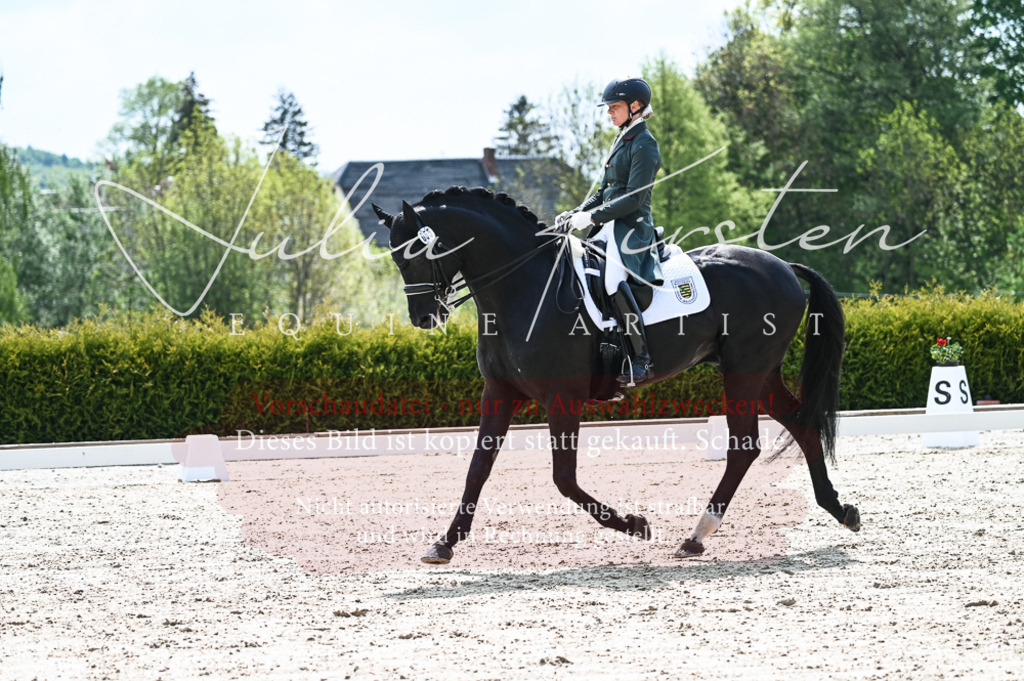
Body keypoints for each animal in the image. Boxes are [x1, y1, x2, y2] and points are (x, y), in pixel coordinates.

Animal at [372, 186, 860, 565]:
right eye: (395, 258)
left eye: (417, 253)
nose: (424, 317)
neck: (523, 288)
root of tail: (783, 267)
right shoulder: (499, 392)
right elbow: (478, 467)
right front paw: (444, 543)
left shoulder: (562, 397)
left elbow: (564, 478)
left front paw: (635, 524)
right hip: (759, 374)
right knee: (801, 424)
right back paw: (839, 509)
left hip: (744, 373)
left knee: (745, 446)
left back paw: (696, 535)